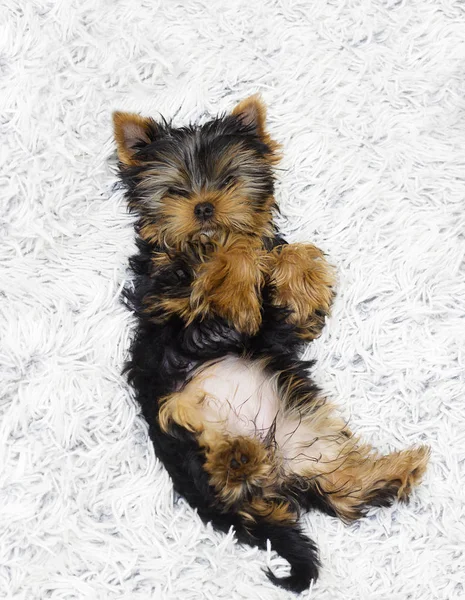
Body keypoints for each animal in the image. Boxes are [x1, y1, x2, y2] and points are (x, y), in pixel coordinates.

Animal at [112, 96, 428, 592]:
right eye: (175, 191)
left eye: (227, 181)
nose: (204, 208)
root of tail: (275, 468)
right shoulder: (170, 302)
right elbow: (228, 261)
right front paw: (237, 278)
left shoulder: (280, 326)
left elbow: (290, 253)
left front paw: (300, 278)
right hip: (179, 428)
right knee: (221, 474)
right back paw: (236, 459)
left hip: (310, 441)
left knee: (342, 490)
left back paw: (396, 470)